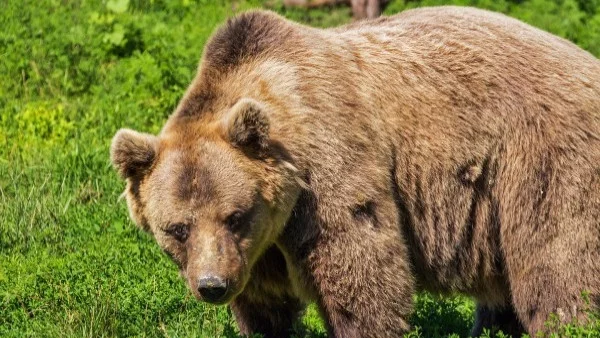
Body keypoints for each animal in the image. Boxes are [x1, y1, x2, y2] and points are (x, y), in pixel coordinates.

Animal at [110, 5, 600, 338]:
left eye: (235, 216)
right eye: (177, 228)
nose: (212, 285)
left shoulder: (329, 166)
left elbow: (361, 272)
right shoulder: (259, 251)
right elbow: (265, 305)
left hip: (542, 161)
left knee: (558, 269)